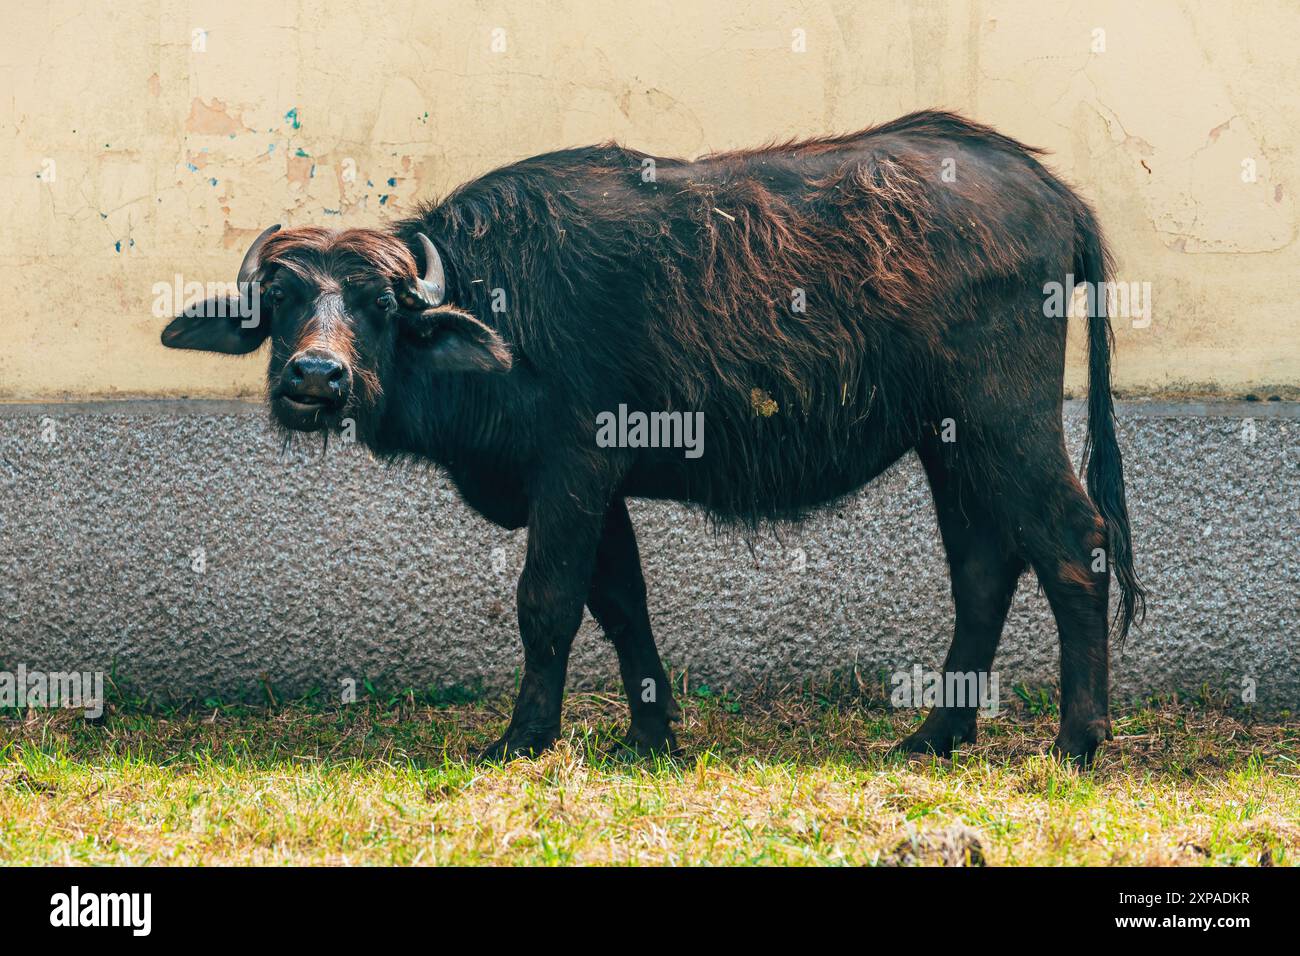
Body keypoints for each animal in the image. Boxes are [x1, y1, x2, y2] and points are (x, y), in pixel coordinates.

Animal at [165, 110, 1149, 764]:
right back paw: (935, 732)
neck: (500, 305)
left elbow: (547, 603)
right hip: (948, 440)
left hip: (1003, 419)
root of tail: (1052, 193)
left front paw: (523, 737)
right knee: (985, 566)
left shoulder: (573, 469)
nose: (315, 380)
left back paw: (1077, 737)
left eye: (377, 304)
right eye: (282, 296)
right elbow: (622, 602)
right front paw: (649, 732)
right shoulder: (598, 489)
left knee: (1074, 542)